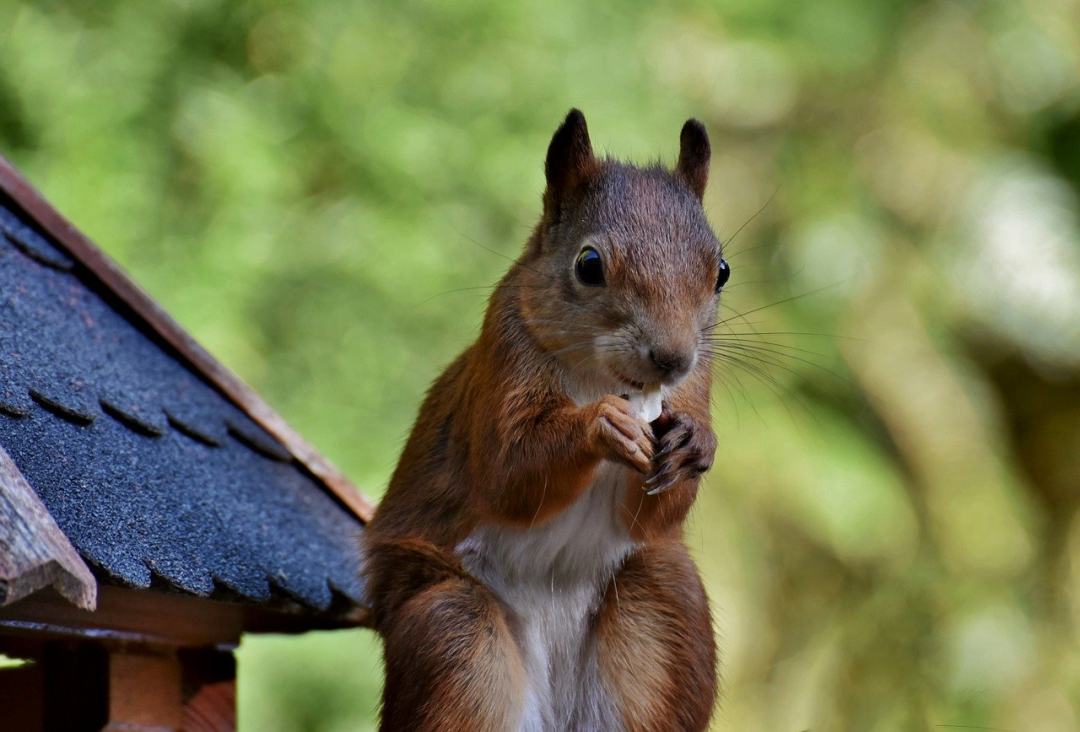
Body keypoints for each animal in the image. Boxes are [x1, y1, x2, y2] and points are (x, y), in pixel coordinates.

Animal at [362, 110, 725, 732]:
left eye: (721, 271)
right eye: (589, 264)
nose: (672, 358)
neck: (602, 378)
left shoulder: (694, 388)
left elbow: (649, 516)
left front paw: (695, 443)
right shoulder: (504, 361)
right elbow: (510, 471)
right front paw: (601, 425)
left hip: (662, 615)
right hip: (456, 639)